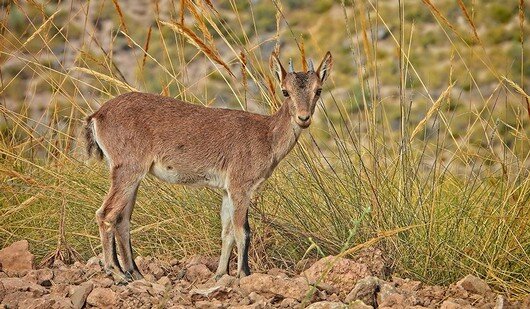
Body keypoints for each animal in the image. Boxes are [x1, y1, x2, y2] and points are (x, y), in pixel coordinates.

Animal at [84, 51, 332, 282]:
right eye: (285, 91)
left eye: (318, 90)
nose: (303, 118)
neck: (267, 136)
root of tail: (97, 115)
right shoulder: (240, 185)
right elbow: (243, 231)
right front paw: (244, 273)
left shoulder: (226, 190)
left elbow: (227, 231)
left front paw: (221, 274)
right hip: (128, 169)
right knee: (106, 214)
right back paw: (115, 272)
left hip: (130, 176)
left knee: (122, 219)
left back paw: (135, 273)